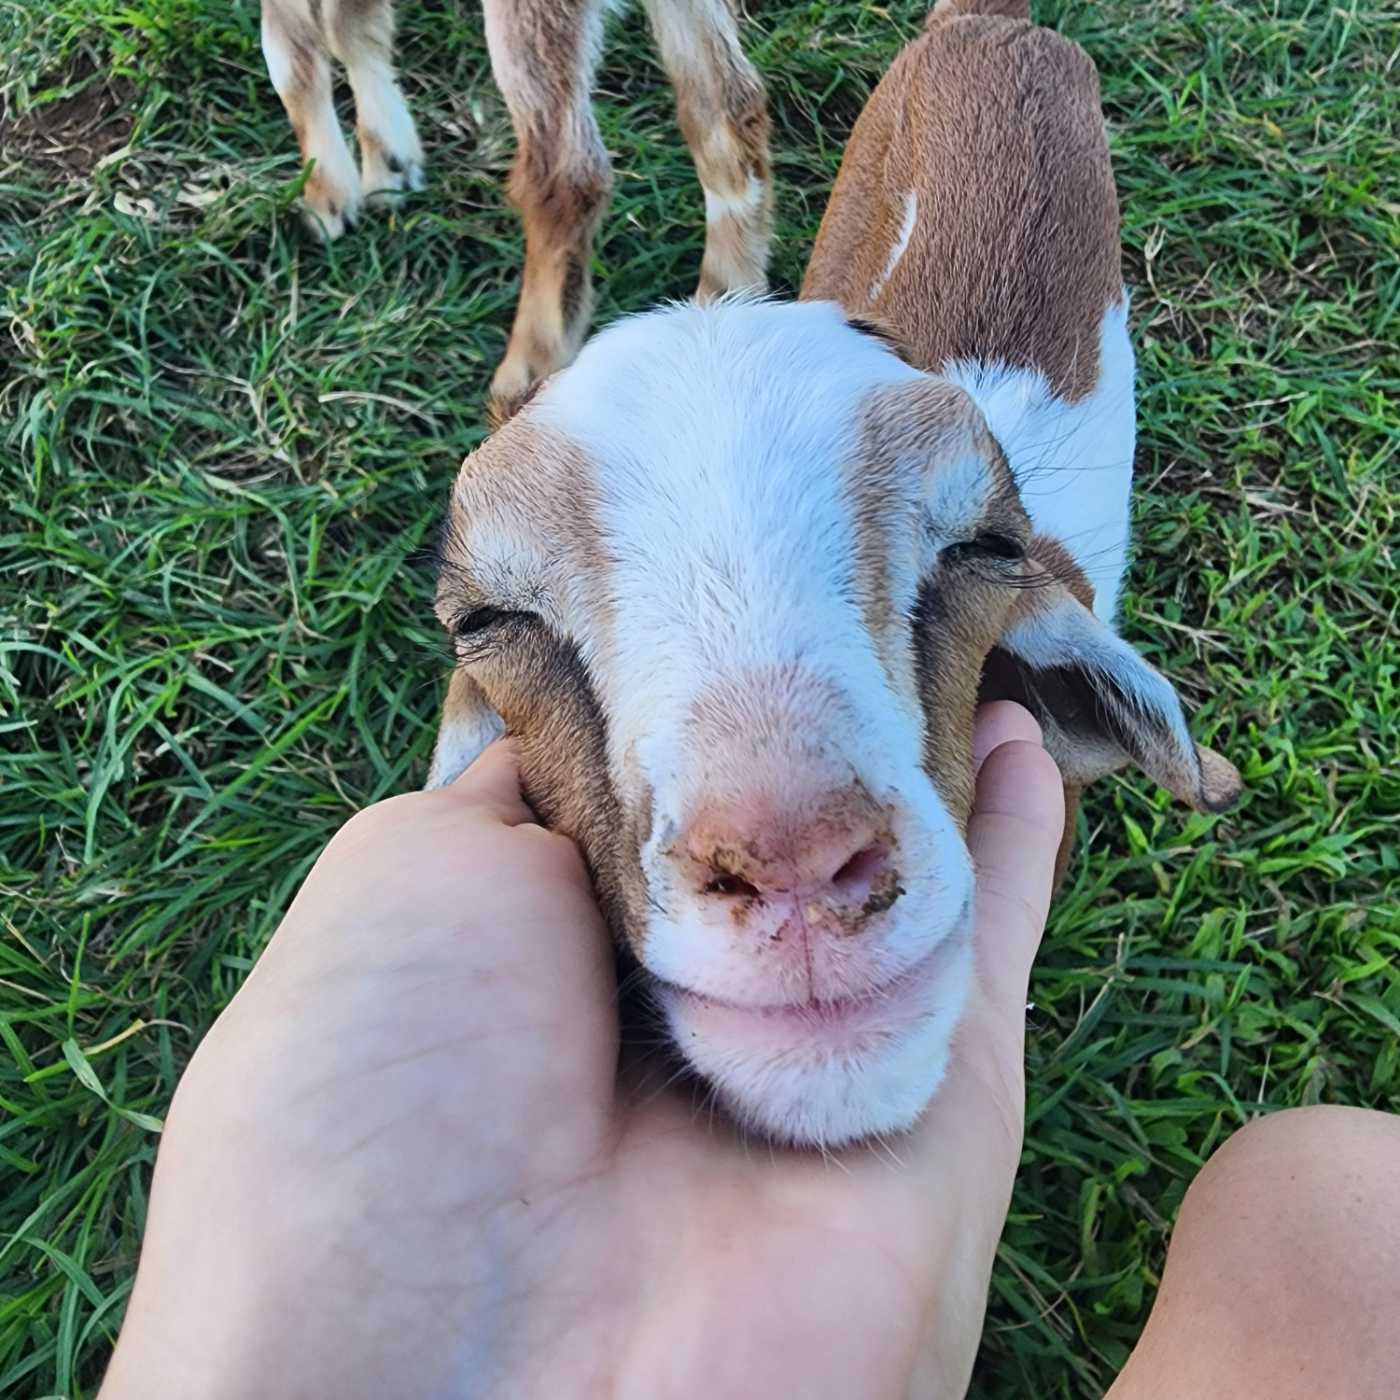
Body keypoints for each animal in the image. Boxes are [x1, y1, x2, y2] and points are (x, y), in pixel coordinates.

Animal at [259, 0, 772, 410]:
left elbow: (288, 52)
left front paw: (326, 194)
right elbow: (350, 24)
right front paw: (389, 166)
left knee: (567, 173)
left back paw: (526, 377)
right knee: (726, 108)